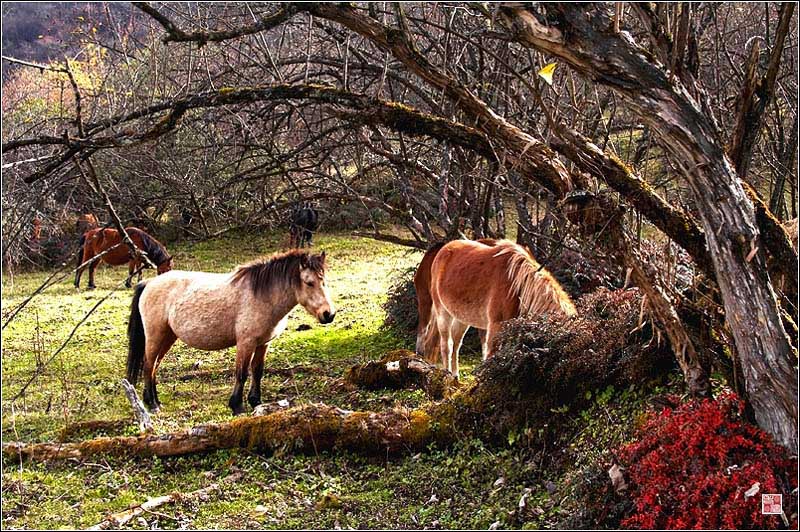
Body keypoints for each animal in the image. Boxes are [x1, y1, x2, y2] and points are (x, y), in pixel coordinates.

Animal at [126, 249, 338, 416]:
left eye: (324, 281)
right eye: (309, 282)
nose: (329, 314)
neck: (262, 296)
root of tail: (149, 283)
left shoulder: (263, 343)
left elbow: (257, 371)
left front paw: (256, 401)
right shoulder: (246, 343)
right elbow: (241, 373)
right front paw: (237, 406)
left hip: (168, 337)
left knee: (154, 366)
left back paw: (156, 401)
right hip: (156, 336)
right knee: (148, 365)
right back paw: (152, 404)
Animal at [418, 241, 576, 378]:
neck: (518, 286)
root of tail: (443, 250)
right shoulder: (496, 325)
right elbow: (490, 356)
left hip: (461, 318)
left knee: (456, 346)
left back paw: (455, 377)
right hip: (443, 313)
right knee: (447, 345)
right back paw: (447, 375)